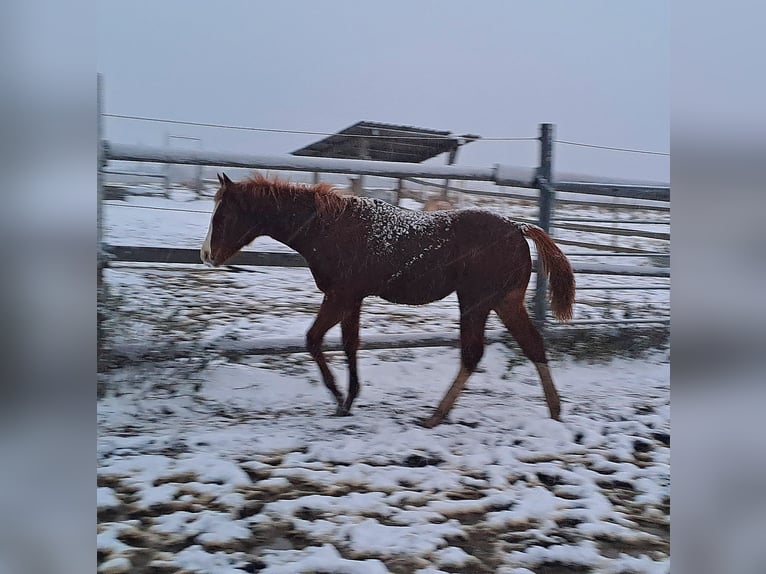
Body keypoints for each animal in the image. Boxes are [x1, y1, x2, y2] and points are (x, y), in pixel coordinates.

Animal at [202, 173, 576, 430]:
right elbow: (349, 344)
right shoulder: (351, 300)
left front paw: (337, 396)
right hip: (504, 302)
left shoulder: (339, 296)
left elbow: (314, 340)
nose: (206, 255)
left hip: (476, 302)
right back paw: (555, 411)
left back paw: (435, 416)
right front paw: (348, 400)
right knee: (532, 345)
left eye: (221, 217)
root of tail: (518, 228)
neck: (329, 229)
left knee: (473, 354)